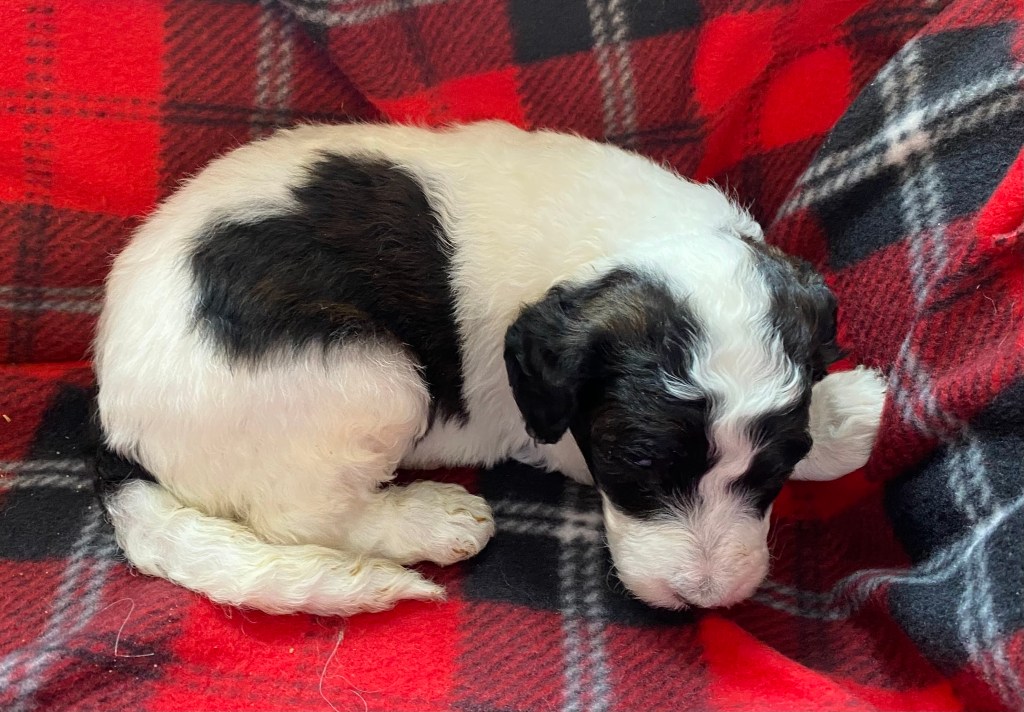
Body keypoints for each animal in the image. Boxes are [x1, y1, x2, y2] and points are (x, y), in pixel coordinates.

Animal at [94, 121, 887, 616]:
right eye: (636, 462)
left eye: (774, 469)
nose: (704, 598)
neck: (645, 240)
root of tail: (109, 425)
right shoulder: (557, 431)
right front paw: (856, 415)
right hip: (372, 376)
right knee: (302, 515)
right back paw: (430, 518)